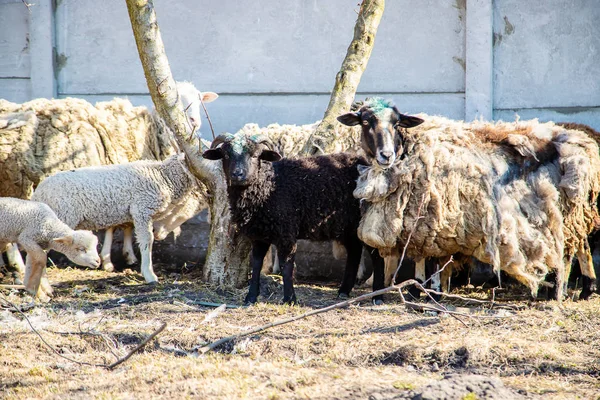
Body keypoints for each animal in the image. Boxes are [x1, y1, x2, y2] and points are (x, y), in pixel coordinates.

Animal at [204, 133, 386, 304]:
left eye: (255, 155)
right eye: (225, 155)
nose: (238, 174)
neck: (268, 186)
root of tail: (363, 161)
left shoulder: (286, 232)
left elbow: (286, 266)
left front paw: (290, 299)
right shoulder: (259, 235)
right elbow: (256, 265)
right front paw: (251, 297)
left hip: (365, 221)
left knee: (376, 255)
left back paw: (378, 296)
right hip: (346, 226)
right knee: (354, 252)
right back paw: (344, 291)